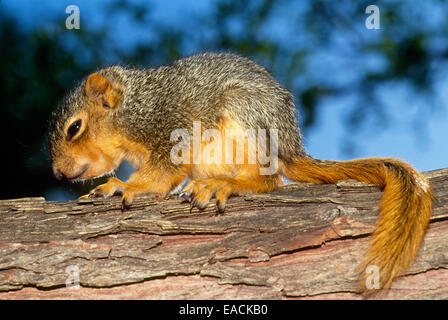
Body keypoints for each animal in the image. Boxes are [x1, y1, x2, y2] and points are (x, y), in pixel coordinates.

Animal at [49, 52, 434, 292]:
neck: (133, 110)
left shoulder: (171, 129)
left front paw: (122, 186)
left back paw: (224, 185)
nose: (58, 174)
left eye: (74, 128)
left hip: (244, 115)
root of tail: (289, 146)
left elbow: (160, 177)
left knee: (269, 180)